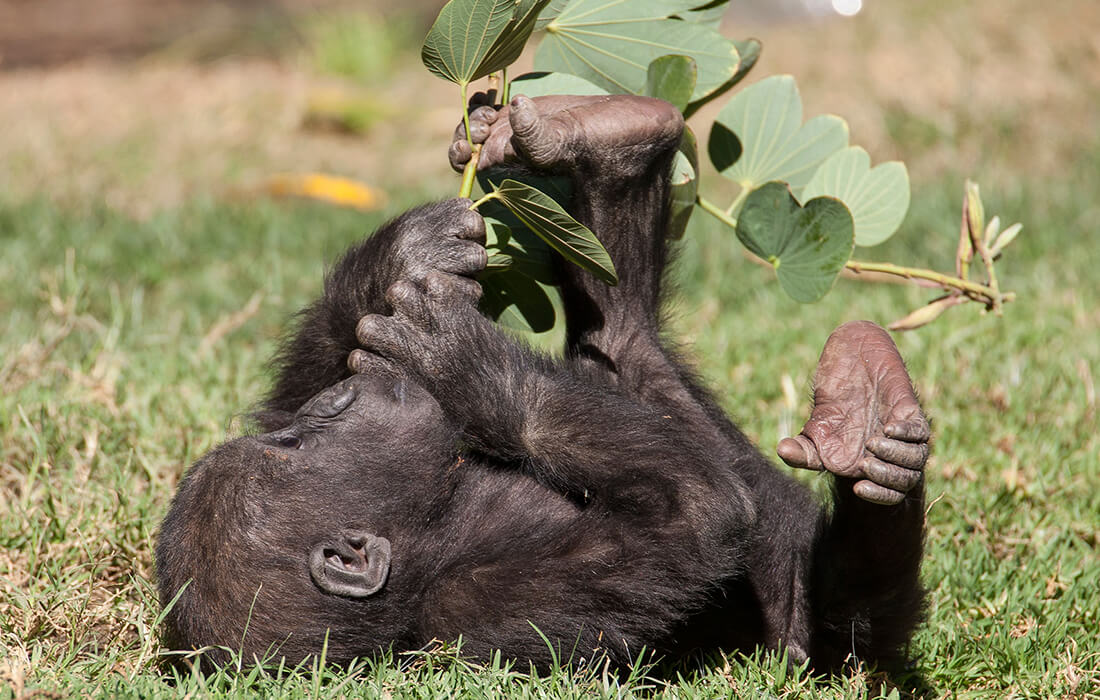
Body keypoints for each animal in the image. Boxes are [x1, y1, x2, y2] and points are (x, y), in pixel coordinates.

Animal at [155, 94, 928, 673]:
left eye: (293, 436)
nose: (330, 404)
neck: (434, 516)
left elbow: (293, 378)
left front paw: (413, 250)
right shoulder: (481, 600)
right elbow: (695, 516)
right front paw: (476, 370)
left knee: (620, 344)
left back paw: (607, 141)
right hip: (817, 645)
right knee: (843, 609)